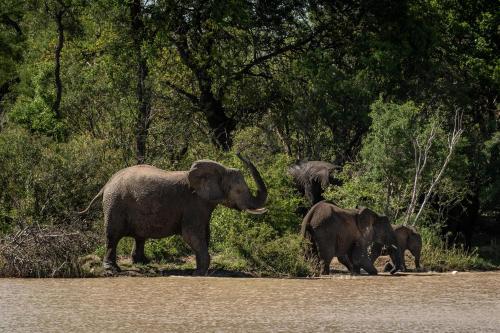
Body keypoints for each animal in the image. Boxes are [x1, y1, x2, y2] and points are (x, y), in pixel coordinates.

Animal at [79, 152, 266, 272]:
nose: (239, 152)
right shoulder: (193, 204)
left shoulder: (202, 205)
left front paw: (200, 270)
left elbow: (205, 234)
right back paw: (113, 269)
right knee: (113, 235)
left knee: (139, 236)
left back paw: (143, 263)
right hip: (115, 203)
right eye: (239, 191)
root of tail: (107, 184)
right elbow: (191, 234)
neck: (220, 170)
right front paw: (199, 273)